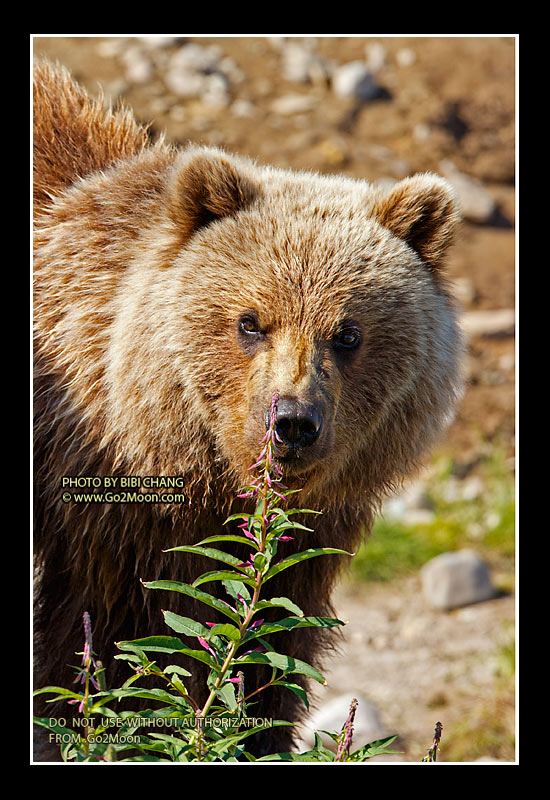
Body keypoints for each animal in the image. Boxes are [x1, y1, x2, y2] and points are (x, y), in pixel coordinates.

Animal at [33, 59, 466, 760]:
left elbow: (269, 646)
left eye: (347, 333)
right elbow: (105, 651)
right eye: (250, 321)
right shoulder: (109, 525)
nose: (291, 423)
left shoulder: (306, 541)